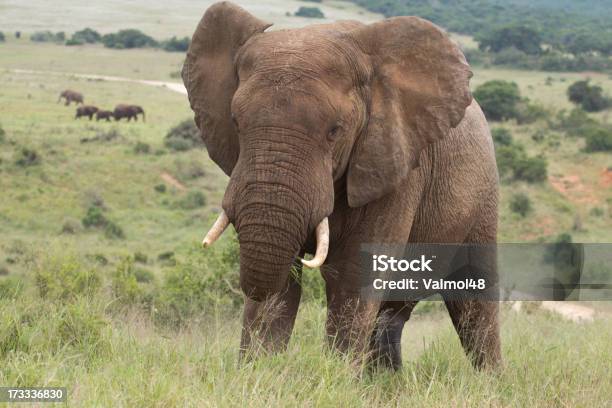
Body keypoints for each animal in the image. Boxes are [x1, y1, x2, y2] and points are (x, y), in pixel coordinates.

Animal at [184, 0, 500, 370]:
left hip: (483, 193)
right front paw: (259, 371)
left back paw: (490, 379)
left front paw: (334, 376)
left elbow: (353, 276)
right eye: (236, 122)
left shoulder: (394, 163)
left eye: (334, 130)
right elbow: (284, 286)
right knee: (392, 314)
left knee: (474, 304)